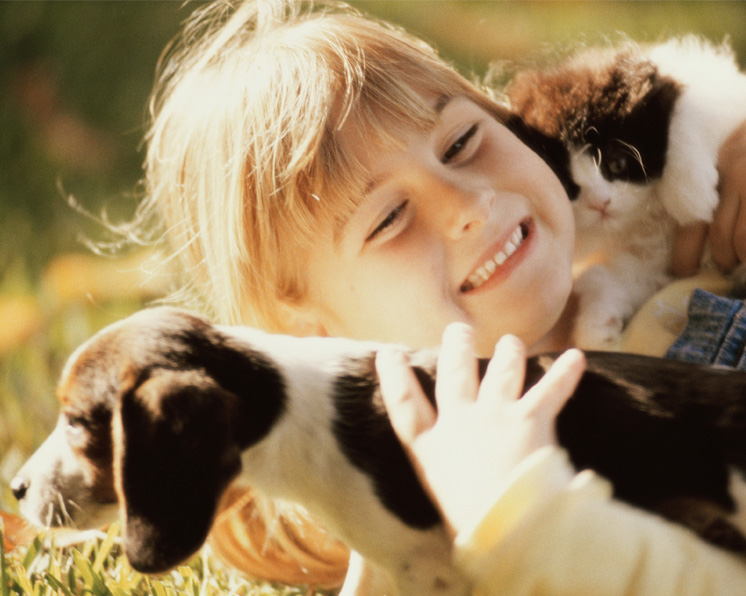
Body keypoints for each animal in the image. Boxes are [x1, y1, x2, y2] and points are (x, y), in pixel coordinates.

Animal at [502, 37, 744, 352]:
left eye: (617, 164)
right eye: (568, 187)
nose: (600, 203)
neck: (651, 216)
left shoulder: (719, 95)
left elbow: (684, 113)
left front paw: (691, 198)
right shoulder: (654, 265)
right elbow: (608, 278)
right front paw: (595, 328)